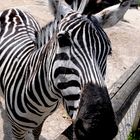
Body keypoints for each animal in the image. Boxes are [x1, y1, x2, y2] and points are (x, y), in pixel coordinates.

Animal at [0, 0, 131, 140]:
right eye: (62, 40)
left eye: (109, 51)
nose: (100, 129)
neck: (44, 103)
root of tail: (14, 9)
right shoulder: (17, 130)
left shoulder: (42, 120)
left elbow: (36, 133)